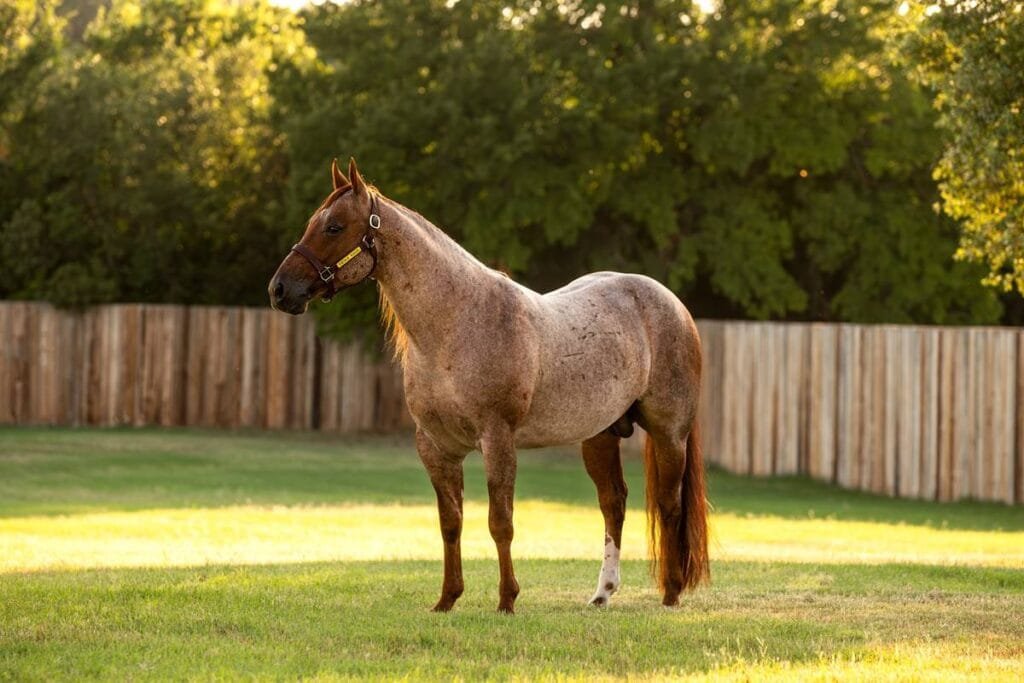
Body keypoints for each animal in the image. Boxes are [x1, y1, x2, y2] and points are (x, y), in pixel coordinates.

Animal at [268, 158, 708, 614]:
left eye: (334, 227)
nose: (280, 290)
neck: (457, 324)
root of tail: (672, 304)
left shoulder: (497, 439)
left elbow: (501, 522)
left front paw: (507, 600)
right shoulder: (436, 446)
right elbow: (450, 523)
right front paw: (447, 598)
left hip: (669, 433)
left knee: (669, 505)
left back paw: (671, 593)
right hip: (600, 436)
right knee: (613, 502)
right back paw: (603, 592)